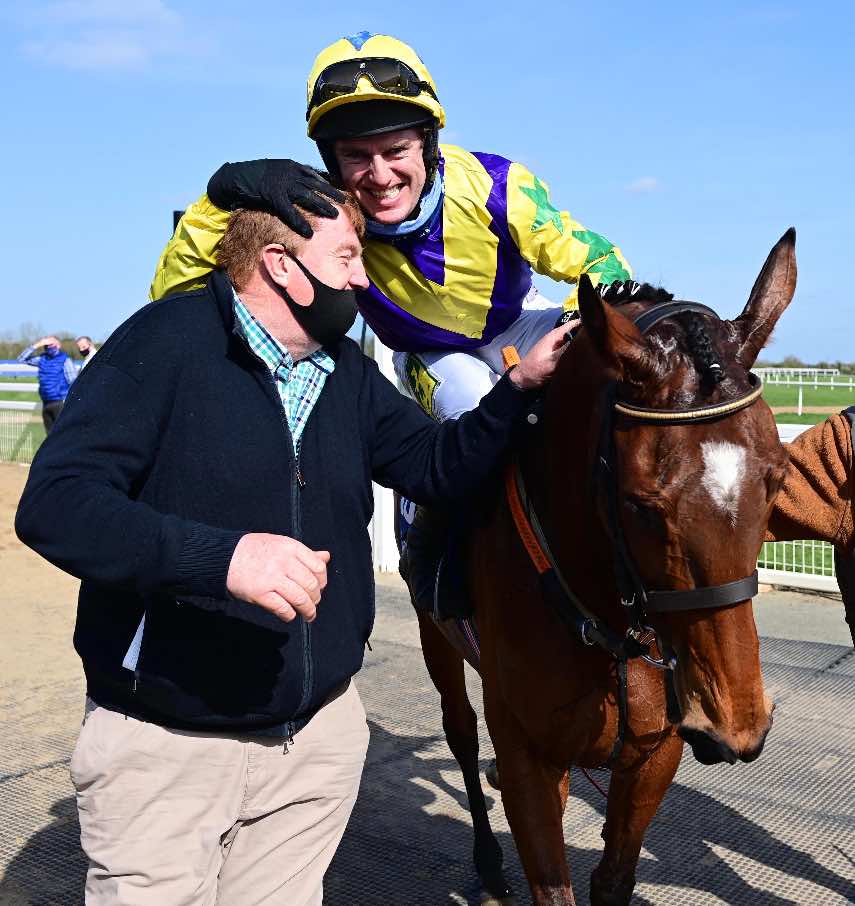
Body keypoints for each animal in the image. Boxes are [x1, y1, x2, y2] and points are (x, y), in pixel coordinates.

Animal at [404, 230, 800, 900]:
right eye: (642, 505)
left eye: (775, 480)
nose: (736, 724)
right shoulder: (523, 749)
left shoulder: (655, 748)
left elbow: (613, 876)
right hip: (437, 636)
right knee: (459, 731)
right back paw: (487, 861)